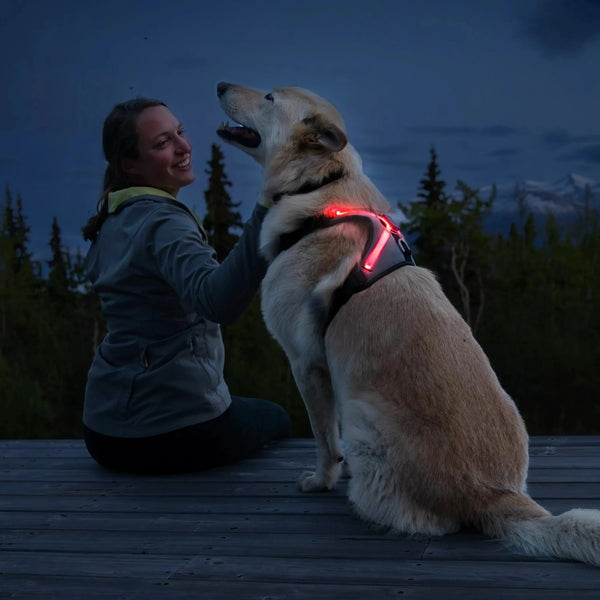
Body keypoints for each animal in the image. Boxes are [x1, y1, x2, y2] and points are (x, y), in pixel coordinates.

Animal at [217, 82, 600, 564]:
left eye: (268, 97)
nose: (219, 86)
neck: (322, 184)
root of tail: (495, 495)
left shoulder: (306, 364)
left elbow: (324, 439)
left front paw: (321, 481)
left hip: (363, 419)